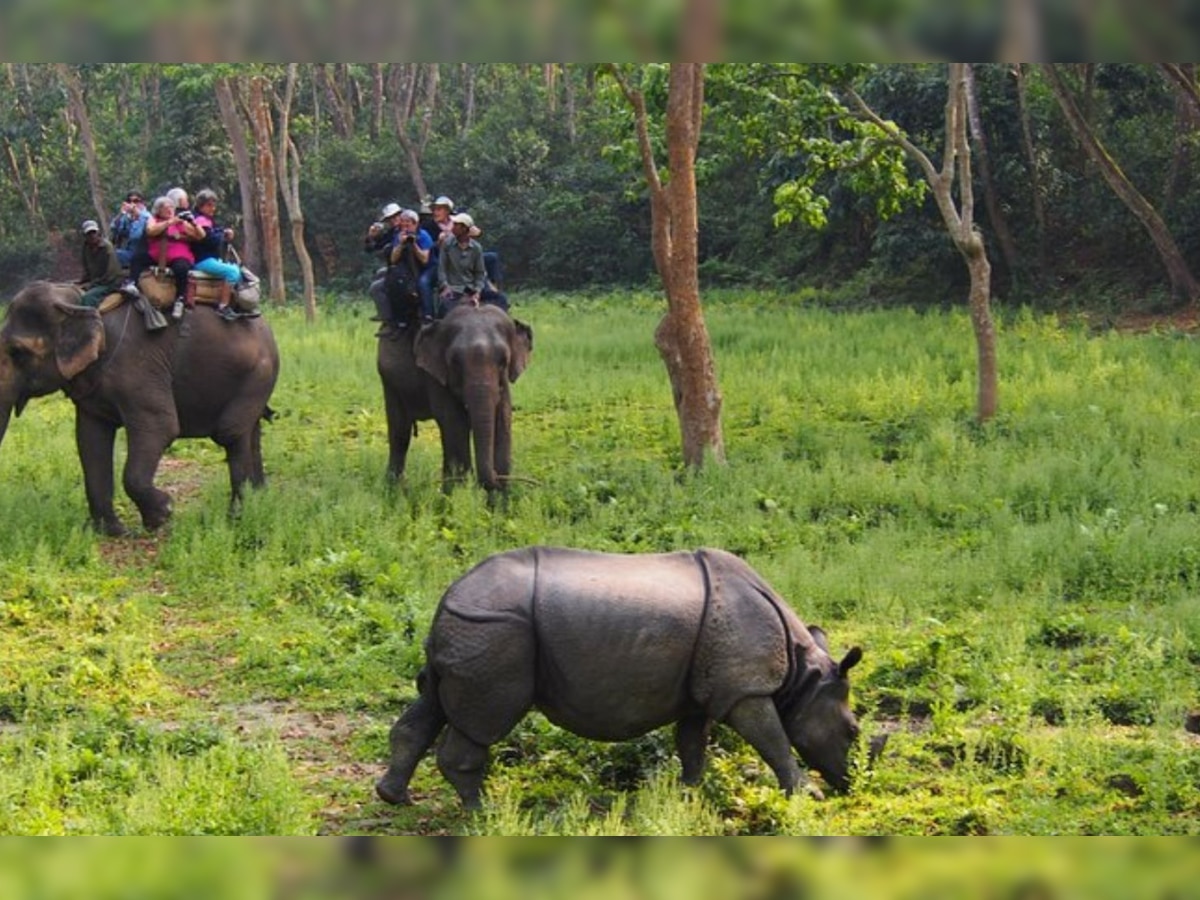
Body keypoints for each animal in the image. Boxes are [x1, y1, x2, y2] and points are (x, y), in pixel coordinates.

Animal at [0, 282, 278, 535]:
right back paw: (260, 500)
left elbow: (160, 427)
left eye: (17, 352)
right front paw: (111, 532)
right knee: (251, 431)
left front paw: (162, 514)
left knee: (230, 432)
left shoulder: (137, 368)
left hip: (258, 374)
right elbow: (90, 440)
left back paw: (236, 518)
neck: (82, 303)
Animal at [374, 547, 864, 816]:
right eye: (853, 731)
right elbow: (774, 740)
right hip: (494, 629)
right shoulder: (746, 688)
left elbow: (692, 742)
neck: (802, 676)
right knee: (483, 721)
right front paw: (808, 795)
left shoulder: (703, 690)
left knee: (432, 703)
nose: (849, 786)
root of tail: (450, 595)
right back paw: (484, 813)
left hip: (470, 627)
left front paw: (688, 794)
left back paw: (395, 798)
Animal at [376, 307, 532, 496]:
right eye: (455, 363)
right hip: (389, 381)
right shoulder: (436, 375)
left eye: (503, 362)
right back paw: (394, 492)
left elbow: (502, 421)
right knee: (400, 434)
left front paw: (498, 500)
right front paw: (459, 496)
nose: (496, 478)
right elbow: (455, 423)